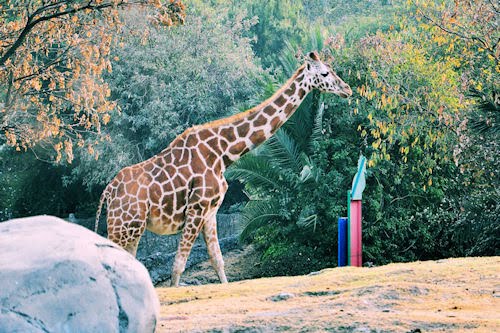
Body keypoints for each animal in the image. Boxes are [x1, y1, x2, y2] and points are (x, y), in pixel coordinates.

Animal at [94, 52, 352, 286]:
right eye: (324, 73)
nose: (347, 89)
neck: (222, 152)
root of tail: (107, 192)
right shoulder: (197, 209)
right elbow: (178, 265)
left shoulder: (210, 212)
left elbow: (217, 261)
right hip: (124, 226)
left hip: (131, 228)